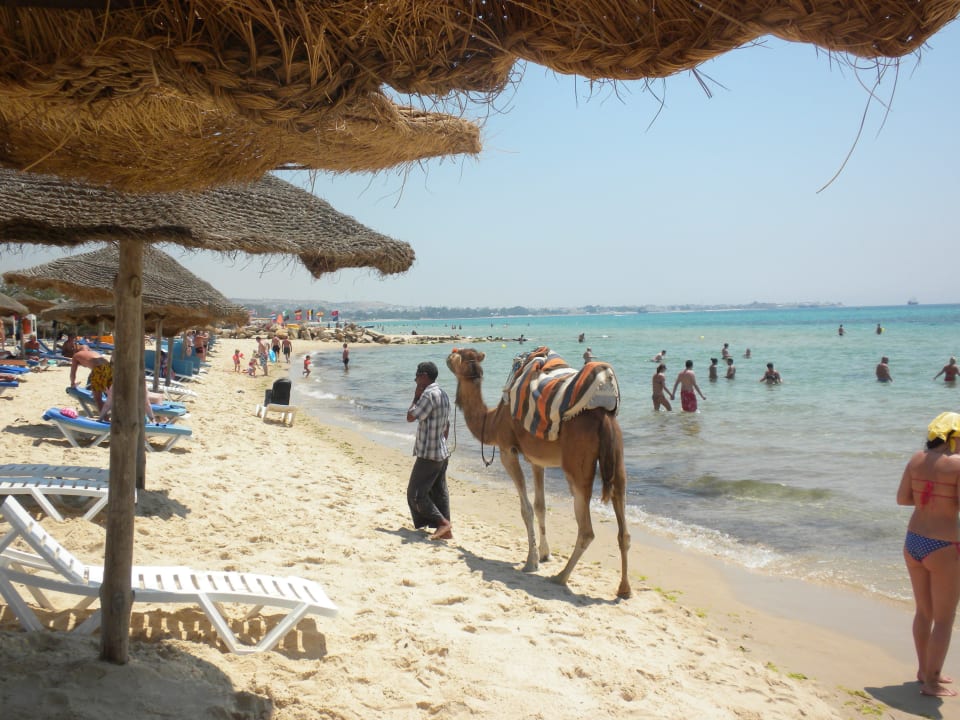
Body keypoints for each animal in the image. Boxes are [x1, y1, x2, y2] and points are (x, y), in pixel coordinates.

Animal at [446, 347, 631, 598]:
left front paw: (531, 561)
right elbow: (541, 506)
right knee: (623, 527)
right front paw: (545, 554)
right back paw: (624, 589)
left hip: (577, 468)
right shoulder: (536, 460)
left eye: (458, 354)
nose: (448, 356)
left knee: (586, 529)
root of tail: (604, 415)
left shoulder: (507, 451)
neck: (493, 420)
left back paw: (561, 577)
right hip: (618, 461)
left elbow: (526, 509)